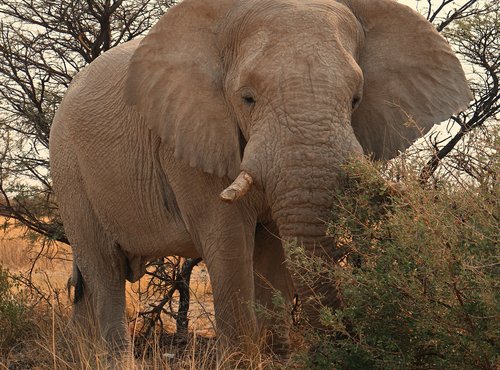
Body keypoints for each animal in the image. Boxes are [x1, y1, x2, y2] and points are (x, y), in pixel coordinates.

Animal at [48, 0, 470, 358]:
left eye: (356, 99)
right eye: (247, 98)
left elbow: (275, 253)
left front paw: (278, 354)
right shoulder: (189, 139)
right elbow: (228, 241)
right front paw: (241, 359)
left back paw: (77, 353)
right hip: (69, 168)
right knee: (105, 267)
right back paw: (112, 358)